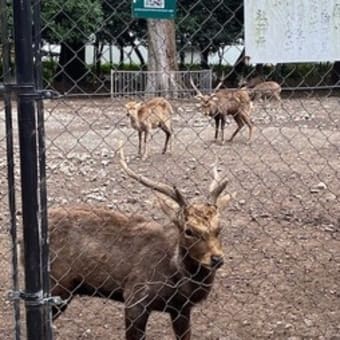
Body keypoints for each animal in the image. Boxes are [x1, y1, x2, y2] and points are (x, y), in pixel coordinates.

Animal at [48, 144, 234, 340]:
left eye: (220, 227)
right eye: (188, 230)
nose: (216, 259)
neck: (175, 277)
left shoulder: (181, 308)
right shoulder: (135, 297)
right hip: (58, 285)